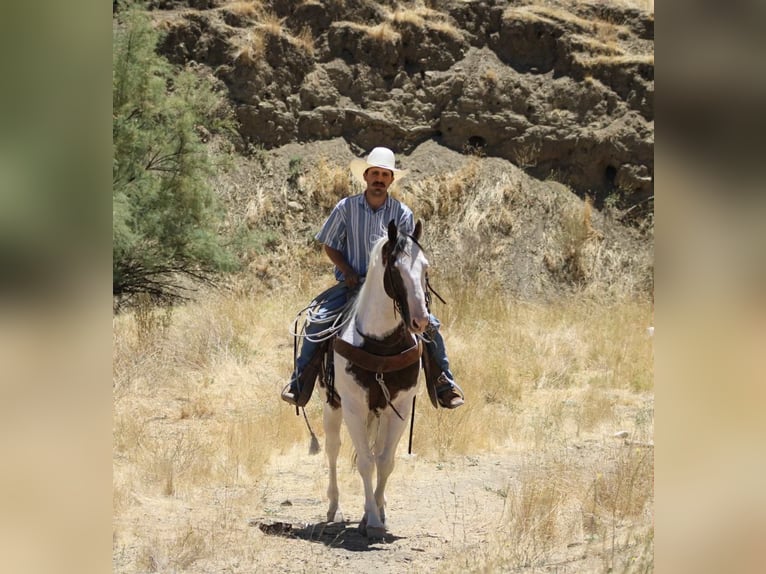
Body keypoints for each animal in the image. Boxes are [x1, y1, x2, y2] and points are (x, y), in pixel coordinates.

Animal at [321, 219, 430, 538]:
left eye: (425, 268)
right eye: (395, 269)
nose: (421, 321)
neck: (382, 345)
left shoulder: (400, 408)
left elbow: (384, 461)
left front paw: (379, 513)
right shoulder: (354, 407)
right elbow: (366, 462)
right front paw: (371, 520)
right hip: (332, 405)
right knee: (333, 449)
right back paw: (334, 507)